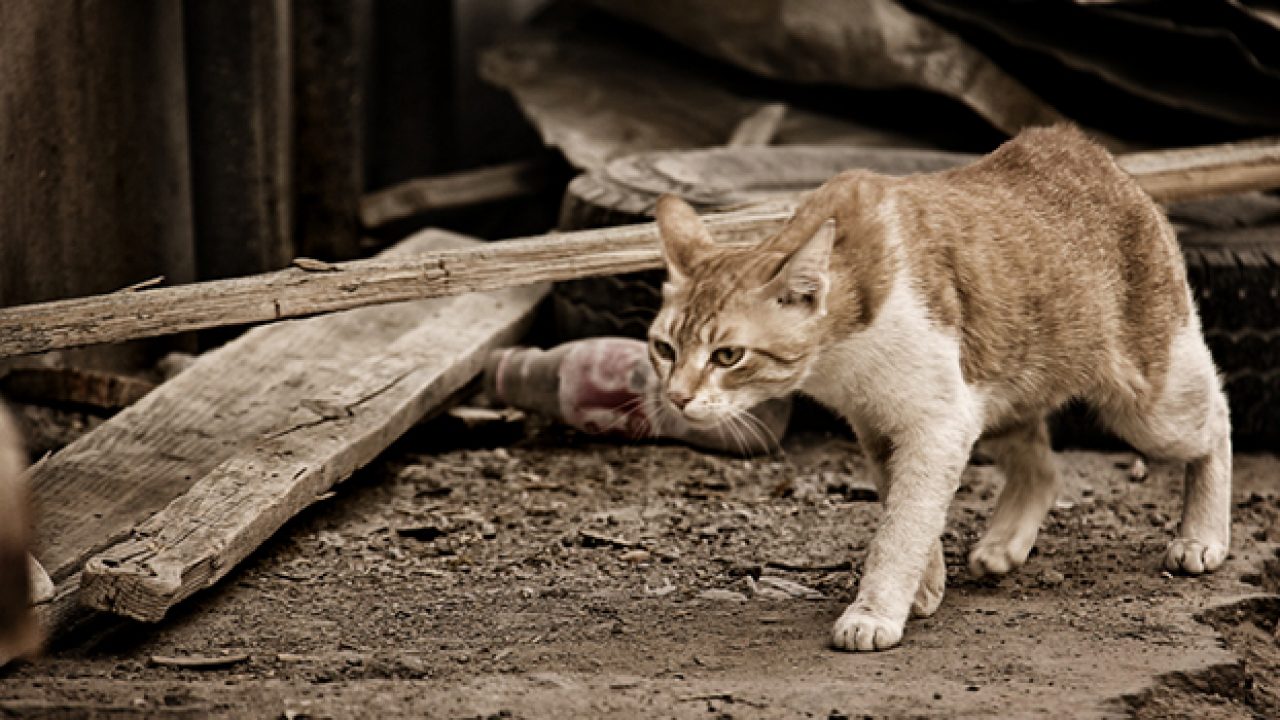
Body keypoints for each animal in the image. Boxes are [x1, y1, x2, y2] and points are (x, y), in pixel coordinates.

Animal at [650, 122, 1228, 650]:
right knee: (1042, 468)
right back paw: (1005, 543)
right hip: (1002, 383)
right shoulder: (882, 426)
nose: (677, 396)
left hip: (1149, 403)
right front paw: (924, 586)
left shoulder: (937, 423)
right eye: (664, 349)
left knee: (1216, 417)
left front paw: (876, 611)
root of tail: (1073, 142)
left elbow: (903, 526)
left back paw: (1202, 536)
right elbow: (900, 505)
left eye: (728, 356)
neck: (837, 359)